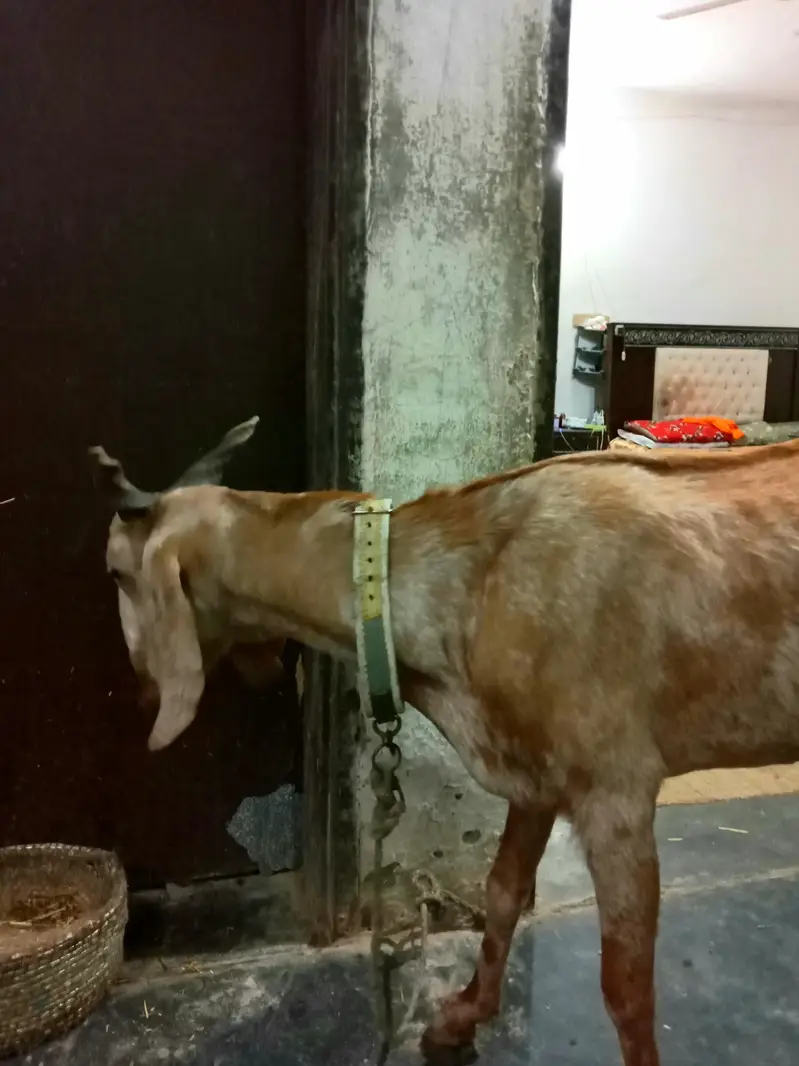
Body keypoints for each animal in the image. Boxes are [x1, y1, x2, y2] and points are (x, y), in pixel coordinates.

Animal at [90, 418, 799, 1066]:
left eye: (116, 572)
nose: (143, 696)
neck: (472, 587)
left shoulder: (614, 787)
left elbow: (624, 984)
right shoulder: (533, 775)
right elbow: (502, 894)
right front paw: (460, 1018)